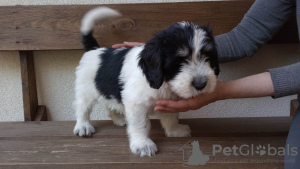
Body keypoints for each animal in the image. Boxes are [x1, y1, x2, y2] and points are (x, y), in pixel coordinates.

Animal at [74, 6, 219, 157]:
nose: (201, 84)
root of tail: (94, 49)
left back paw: (119, 120)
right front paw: (142, 144)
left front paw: (174, 130)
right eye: (179, 61)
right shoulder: (136, 103)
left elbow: (171, 117)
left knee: (109, 105)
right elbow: (141, 125)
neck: (163, 81)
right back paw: (83, 126)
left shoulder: (168, 101)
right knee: (82, 107)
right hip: (85, 91)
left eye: (208, 56)